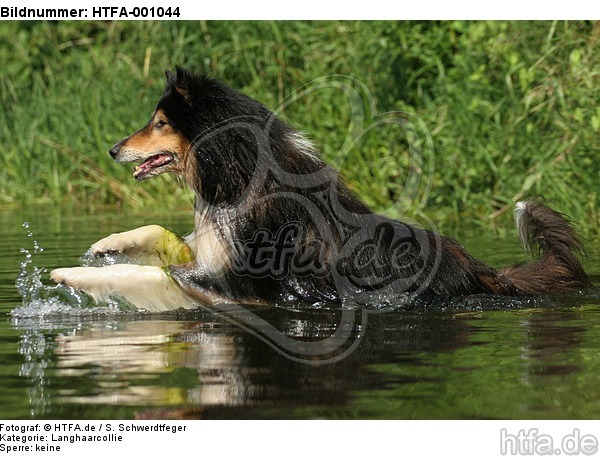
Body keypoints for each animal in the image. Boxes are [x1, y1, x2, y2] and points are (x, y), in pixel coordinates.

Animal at [50, 67, 592, 310]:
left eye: (160, 123)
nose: (113, 149)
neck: (240, 170)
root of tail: (481, 267)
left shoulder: (237, 284)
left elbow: (149, 276)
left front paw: (71, 274)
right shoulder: (210, 248)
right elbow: (156, 234)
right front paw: (104, 245)